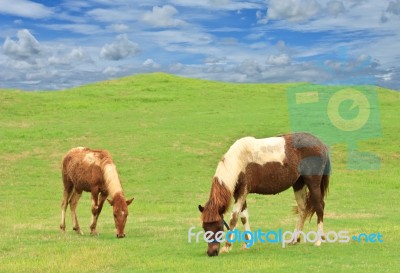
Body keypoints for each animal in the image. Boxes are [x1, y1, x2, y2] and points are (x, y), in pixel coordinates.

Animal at [198, 132, 330, 255]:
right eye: (204, 227)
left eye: (219, 227)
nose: (211, 252)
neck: (238, 161)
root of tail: (321, 144)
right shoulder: (239, 194)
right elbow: (244, 217)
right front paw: (247, 244)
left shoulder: (242, 192)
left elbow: (234, 218)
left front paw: (226, 247)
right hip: (299, 184)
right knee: (302, 209)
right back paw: (294, 240)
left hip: (313, 183)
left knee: (319, 207)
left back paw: (318, 241)